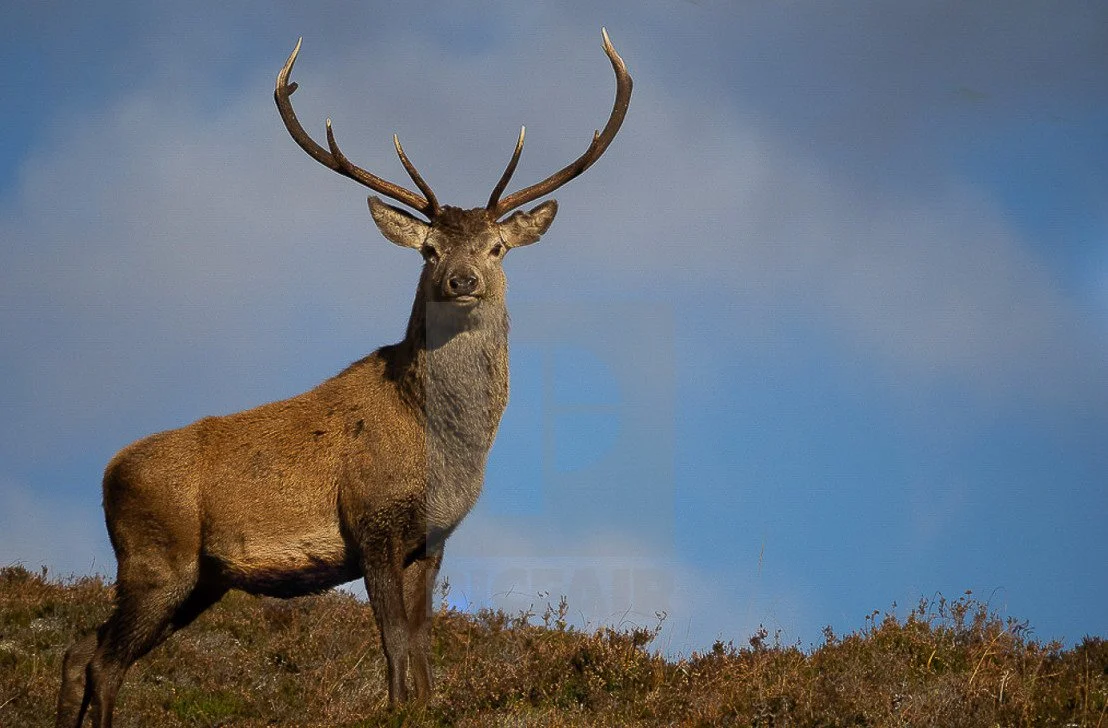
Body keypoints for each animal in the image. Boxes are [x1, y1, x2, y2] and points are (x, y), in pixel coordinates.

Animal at [55, 29, 631, 727]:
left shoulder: (430, 541)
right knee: (103, 660)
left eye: (497, 248)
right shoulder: (371, 522)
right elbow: (396, 647)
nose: (460, 280)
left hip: (197, 578)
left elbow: (422, 647)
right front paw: (398, 708)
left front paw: (424, 705)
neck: (439, 443)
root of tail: (107, 475)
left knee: (80, 648)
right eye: (428, 250)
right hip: (156, 558)